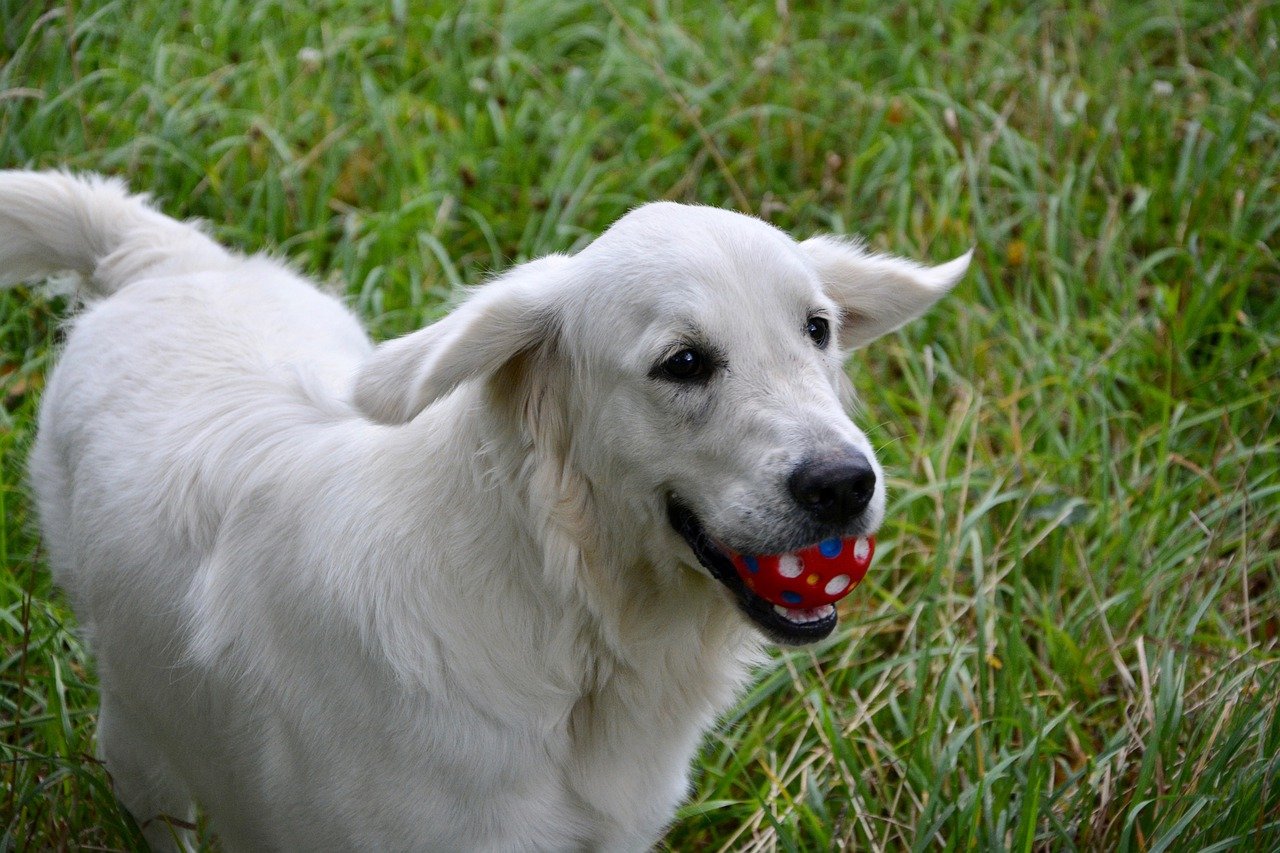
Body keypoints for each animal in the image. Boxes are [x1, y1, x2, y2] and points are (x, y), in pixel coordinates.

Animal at [0, 169, 962, 845]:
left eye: (817, 330)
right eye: (684, 362)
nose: (845, 483)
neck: (570, 626)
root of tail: (166, 261)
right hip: (139, 724)